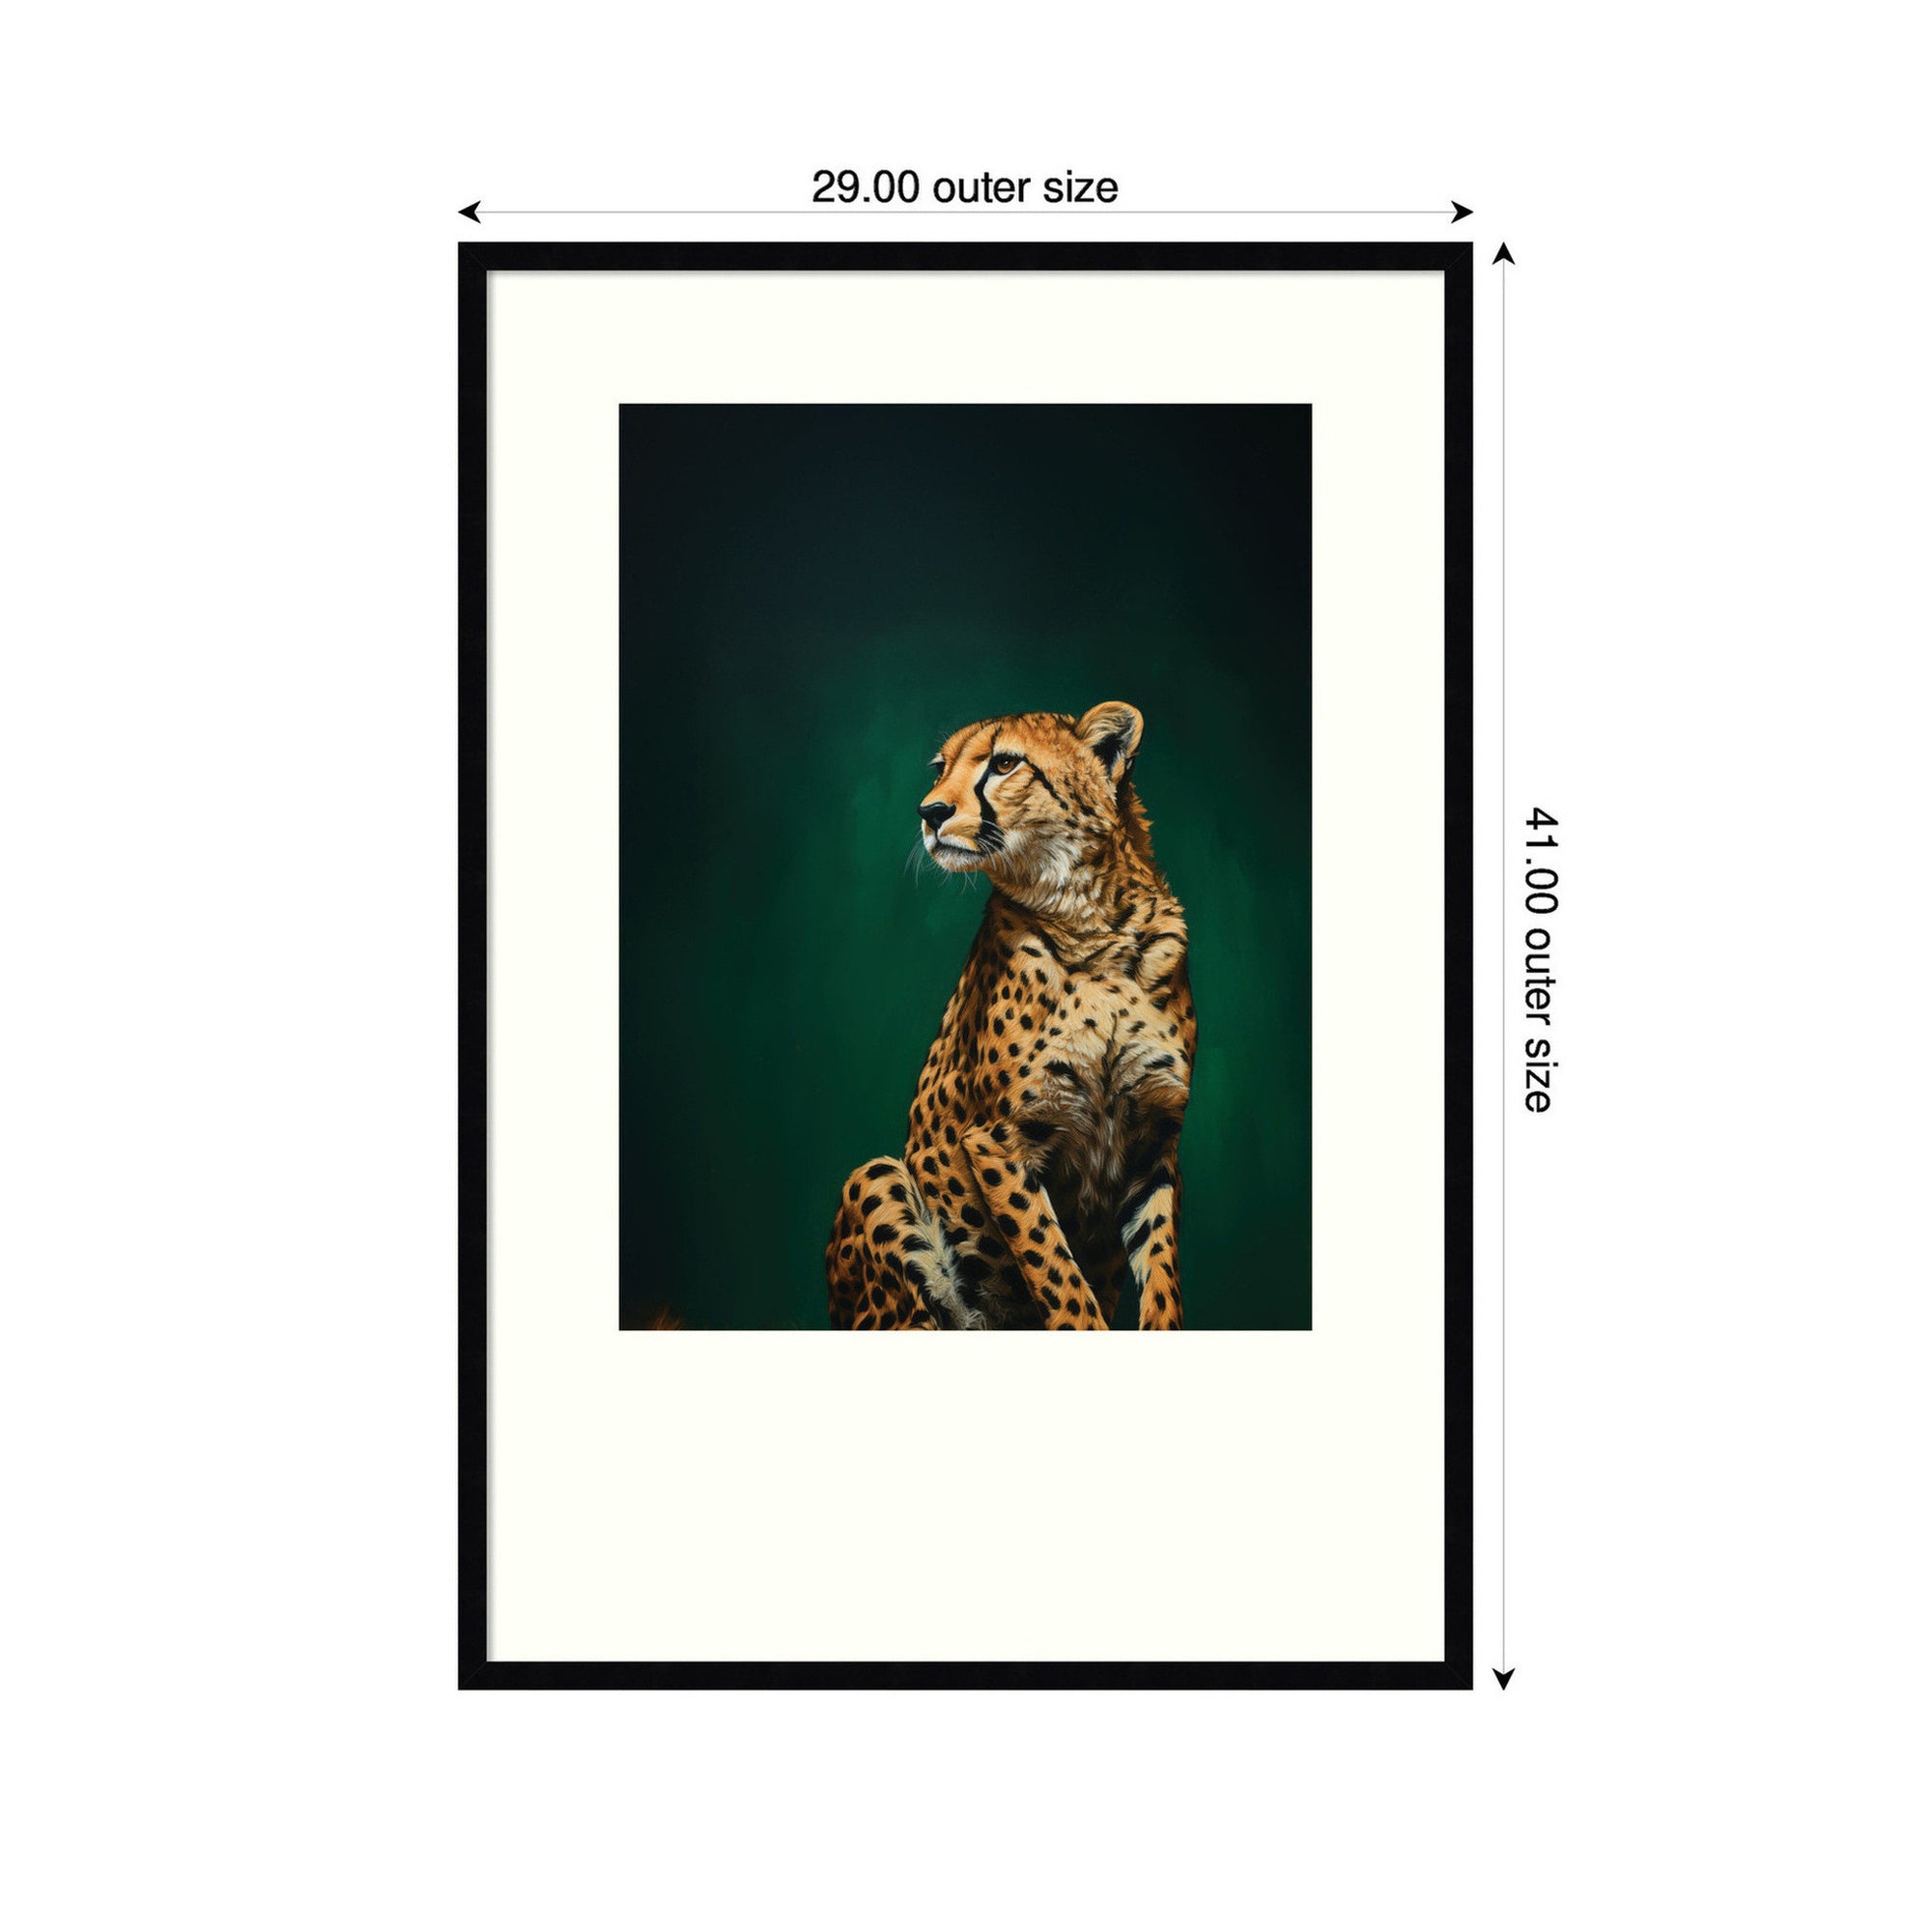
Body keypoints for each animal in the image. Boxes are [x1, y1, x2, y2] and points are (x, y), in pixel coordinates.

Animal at [826, 701, 1194, 1331]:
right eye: (940, 768)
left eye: (1003, 764)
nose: (930, 812)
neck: (1092, 925)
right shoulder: (998, 1139)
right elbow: (1057, 1272)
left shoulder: (1153, 1142)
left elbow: (1163, 1273)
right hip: (877, 1181)